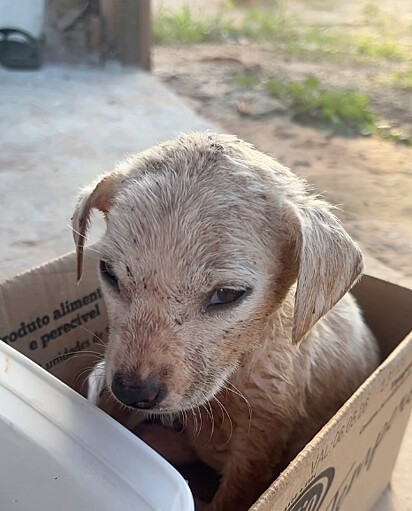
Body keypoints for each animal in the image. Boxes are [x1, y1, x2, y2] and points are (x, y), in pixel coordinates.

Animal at [73, 133, 380, 511]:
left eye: (228, 294)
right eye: (108, 273)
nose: (133, 393)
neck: (238, 370)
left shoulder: (259, 444)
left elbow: (231, 496)